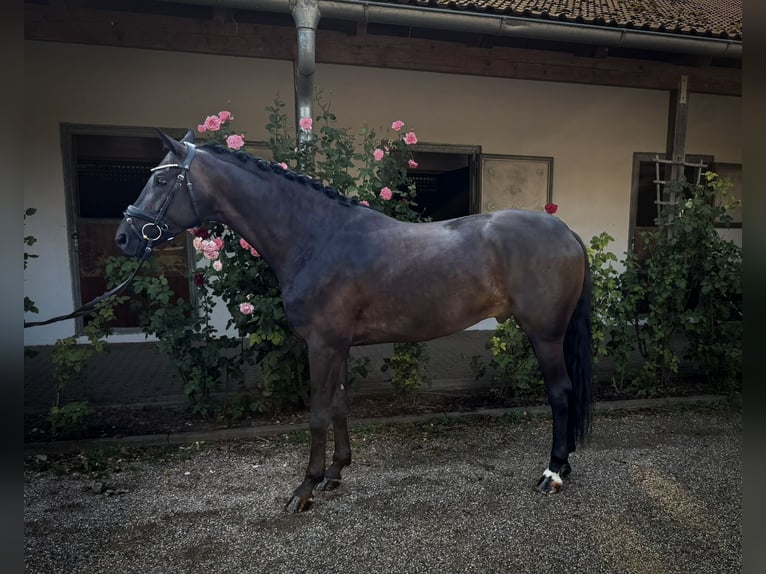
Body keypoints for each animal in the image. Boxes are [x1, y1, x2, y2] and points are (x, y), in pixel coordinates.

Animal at [115, 129, 593, 512]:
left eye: (162, 179)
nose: (124, 237)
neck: (316, 237)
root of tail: (565, 232)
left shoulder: (321, 344)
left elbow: (317, 414)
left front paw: (304, 489)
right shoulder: (339, 345)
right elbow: (340, 405)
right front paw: (335, 473)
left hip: (545, 335)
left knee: (561, 393)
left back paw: (552, 473)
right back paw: (564, 464)